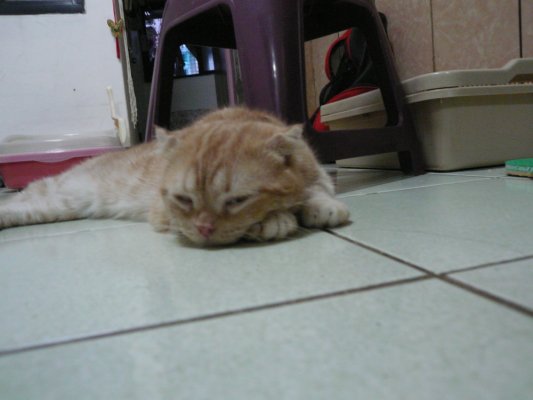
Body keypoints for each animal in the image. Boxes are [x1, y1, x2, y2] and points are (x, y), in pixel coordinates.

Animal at [0, 107, 349, 245]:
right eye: (183, 199)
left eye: (237, 199)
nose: (205, 229)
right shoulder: (163, 213)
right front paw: (276, 220)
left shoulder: (314, 168)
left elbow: (317, 186)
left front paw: (321, 206)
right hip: (53, 195)